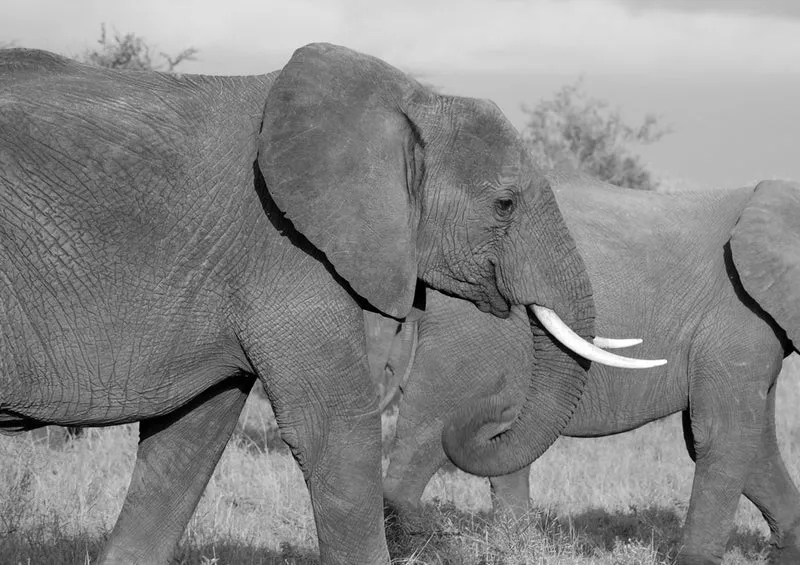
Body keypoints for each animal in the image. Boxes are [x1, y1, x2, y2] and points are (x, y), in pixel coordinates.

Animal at [0, 44, 659, 564]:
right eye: (504, 204)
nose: (486, 416)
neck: (411, 102)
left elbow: (189, 437)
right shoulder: (283, 248)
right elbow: (336, 432)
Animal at [383, 174, 800, 565]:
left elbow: (754, 442)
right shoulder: (737, 316)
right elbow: (724, 436)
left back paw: (517, 547)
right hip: (470, 333)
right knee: (428, 431)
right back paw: (412, 545)